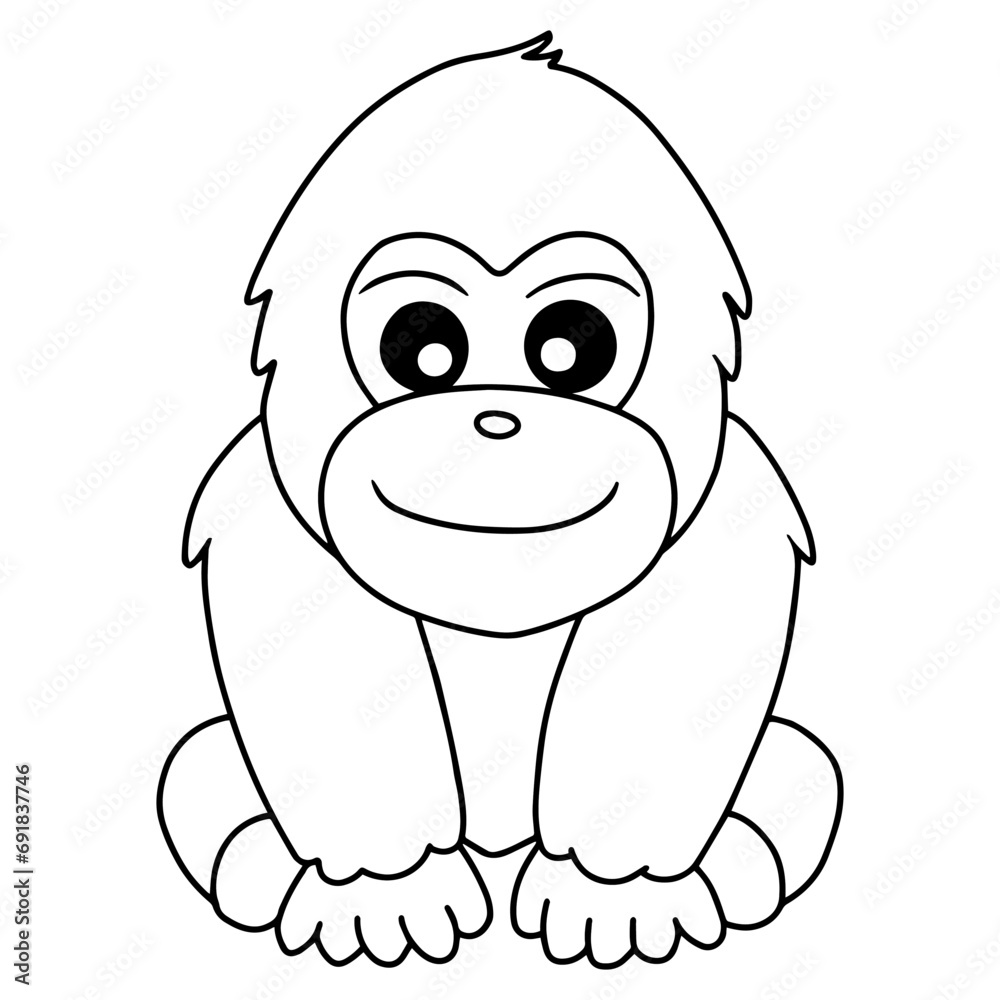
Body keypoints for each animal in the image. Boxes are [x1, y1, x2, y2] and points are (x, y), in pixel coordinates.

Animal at [158, 33, 842, 969]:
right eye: (419, 347)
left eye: (573, 347)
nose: (495, 419)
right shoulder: (268, 509)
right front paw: (383, 897)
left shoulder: (728, 506)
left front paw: (615, 898)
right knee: (198, 775)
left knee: (800, 771)